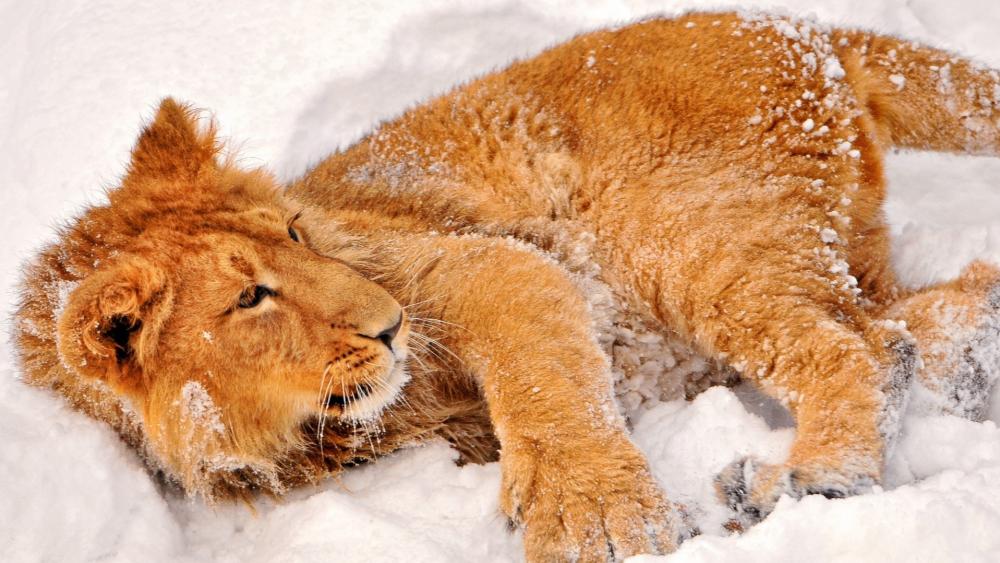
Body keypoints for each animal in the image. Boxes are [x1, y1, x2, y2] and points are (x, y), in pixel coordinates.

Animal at [14, 11, 1000, 562]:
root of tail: (803, 31)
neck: (306, 431)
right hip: (815, 247)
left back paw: (809, 480)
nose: (390, 326)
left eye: (294, 234)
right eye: (251, 298)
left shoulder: (478, 262)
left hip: (683, 238)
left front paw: (598, 521)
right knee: (911, 320)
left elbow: (542, 382)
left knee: (853, 347)